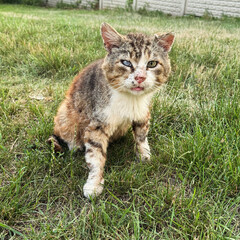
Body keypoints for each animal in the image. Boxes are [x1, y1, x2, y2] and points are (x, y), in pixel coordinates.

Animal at [47, 22, 174, 199]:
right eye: (126, 63)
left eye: (152, 63)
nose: (140, 77)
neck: (130, 99)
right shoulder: (97, 123)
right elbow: (95, 154)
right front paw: (94, 183)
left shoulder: (143, 112)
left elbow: (141, 136)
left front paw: (144, 155)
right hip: (65, 115)